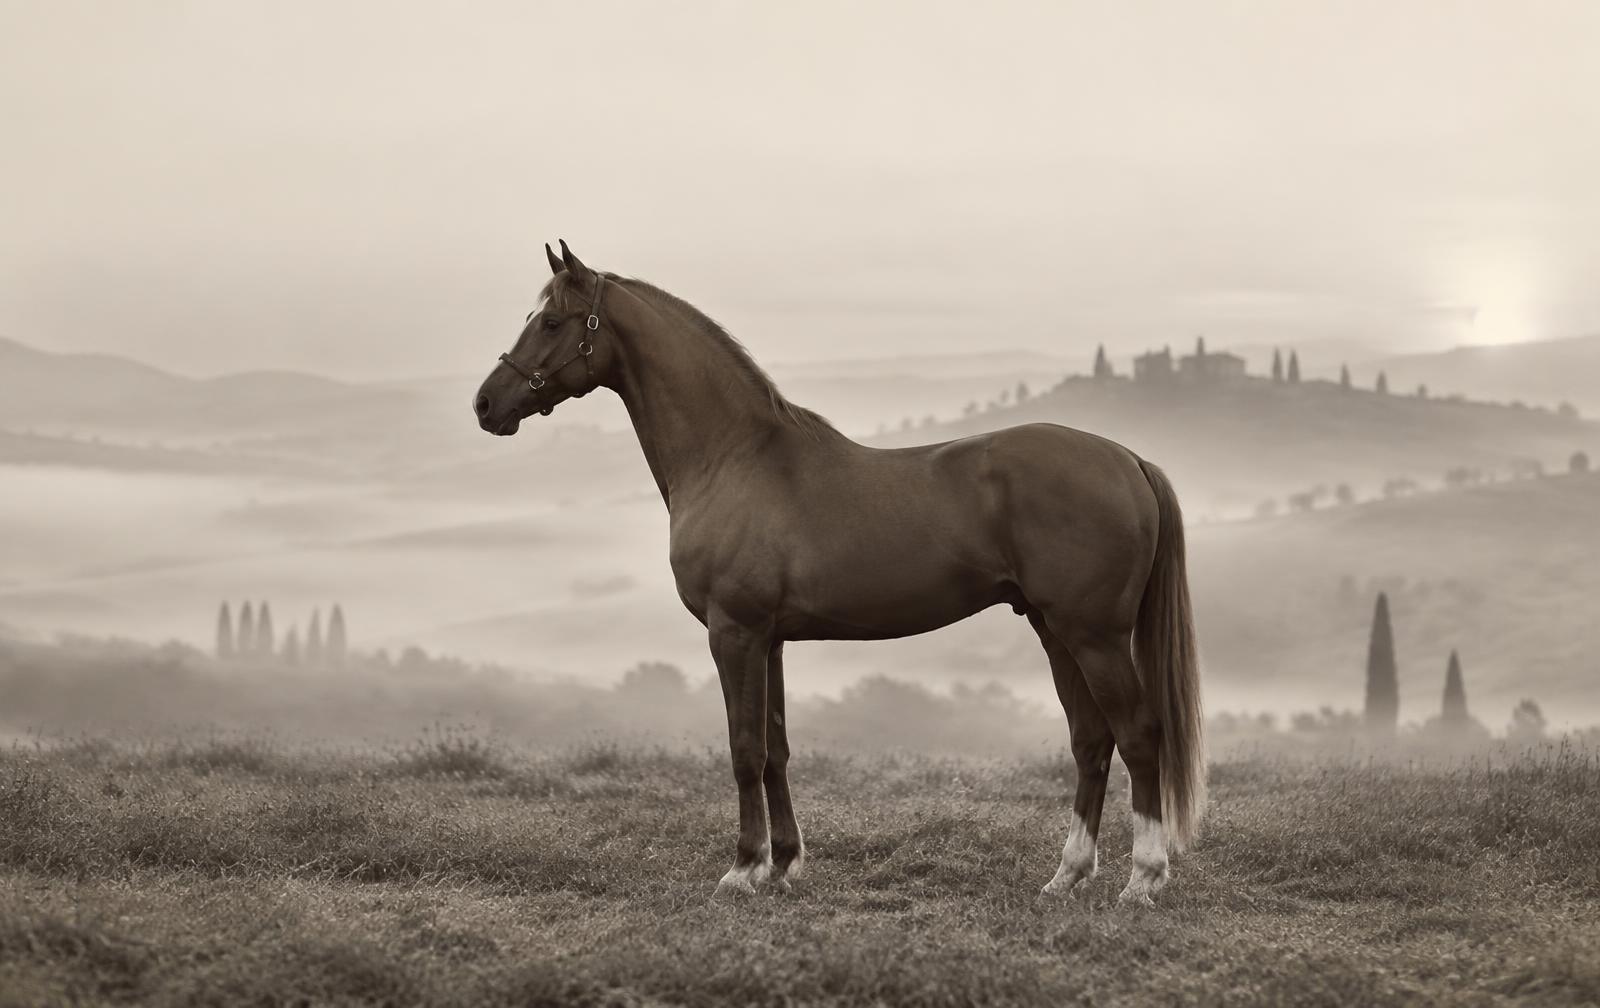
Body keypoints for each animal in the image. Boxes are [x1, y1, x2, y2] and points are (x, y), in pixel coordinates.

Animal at [474, 241, 1206, 904]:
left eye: (552, 322)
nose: (486, 404)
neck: (734, 457)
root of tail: (1128, 459)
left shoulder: (733, 632)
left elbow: (744, 749)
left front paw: (742, 869)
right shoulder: (768, 639)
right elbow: (775, 748)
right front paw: (783, 864)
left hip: (1093, 636)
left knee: (1138, 735)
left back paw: (1143, 880)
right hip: (1056, 632)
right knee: (1092, 741)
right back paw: (1067, 875)